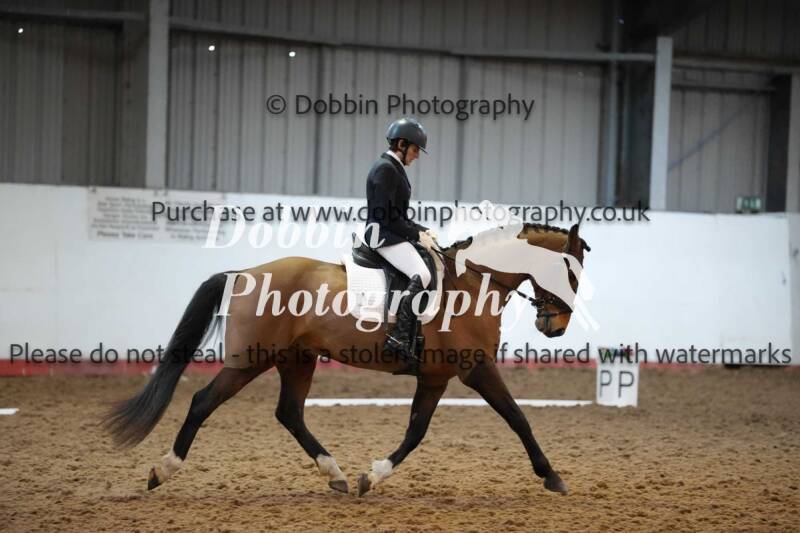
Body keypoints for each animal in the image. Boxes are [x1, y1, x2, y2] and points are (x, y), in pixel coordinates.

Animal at [104, 221, 590, 496]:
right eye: (570, 272)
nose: (555, 327)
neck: (473, 282)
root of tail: (242, 273)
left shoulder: (435, 377)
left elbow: (416, 431)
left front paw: (369, 477)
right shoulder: (475, 368)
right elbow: (518, 418)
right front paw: (552, 477)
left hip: (296, 359)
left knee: (289, 412)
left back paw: (334, 474)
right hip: (251, 360)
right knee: (203, 402)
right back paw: (162, 470)